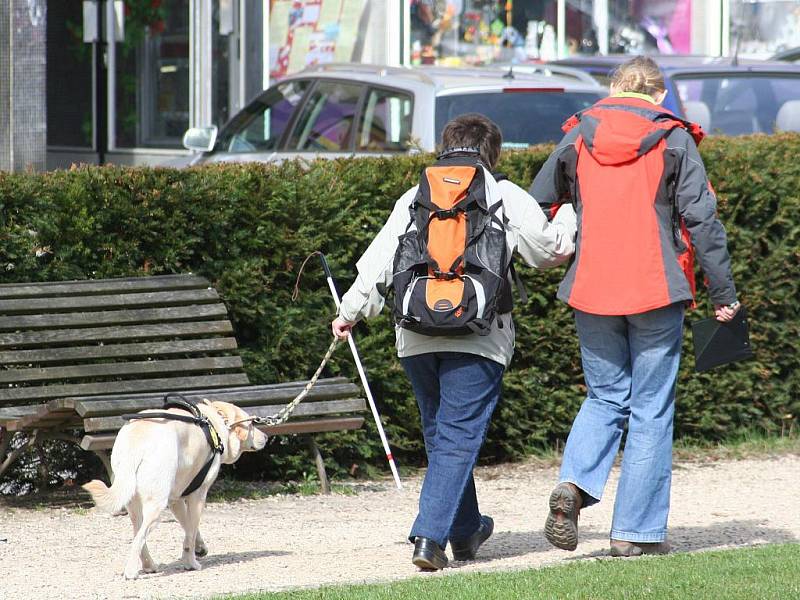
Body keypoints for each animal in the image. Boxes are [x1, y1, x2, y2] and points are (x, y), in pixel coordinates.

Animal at [83, 400, 268, 580]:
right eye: (252, 424)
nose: (266, 436)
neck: (214, 423)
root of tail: (136, 441)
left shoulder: (176, 500)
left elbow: (188, 527)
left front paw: (200, 548)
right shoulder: (198, 495)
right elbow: (191, 532)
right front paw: (191, 563)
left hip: (133, 502)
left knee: (137, 533)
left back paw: (149, 565)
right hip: (156, 505)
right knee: (139, 538)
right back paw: (131, 572)